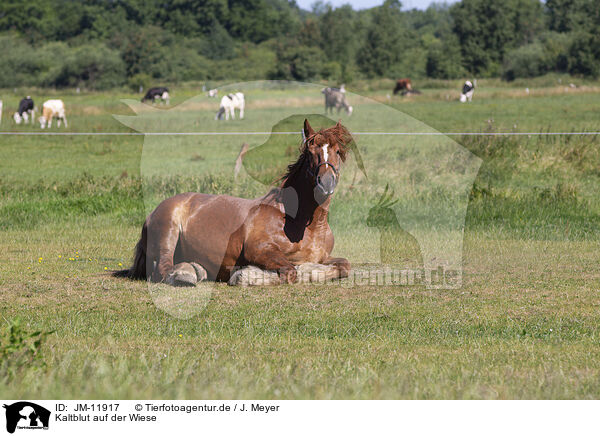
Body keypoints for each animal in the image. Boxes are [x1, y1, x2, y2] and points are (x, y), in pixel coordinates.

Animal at [115, 118, 354, 286]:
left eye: (336, 151)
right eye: (311, 153)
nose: (326, 183)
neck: (301, 224)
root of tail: (152, 213)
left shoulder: (326, 257)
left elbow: (344, 265)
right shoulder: (258, 250)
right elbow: (290, 272)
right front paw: (246, 275)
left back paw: (196, 270)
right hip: (167, 233)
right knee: (162, 269)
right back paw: (186, 275)